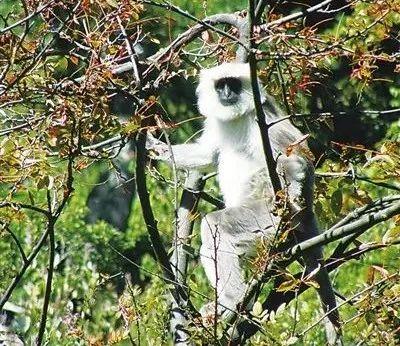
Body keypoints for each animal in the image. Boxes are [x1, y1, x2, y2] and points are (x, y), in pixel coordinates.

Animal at [147, 62, 340, 344]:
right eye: (221, 85)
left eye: (234, 84)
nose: (227, 93)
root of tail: (308, 215)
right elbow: (207, 154)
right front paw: (155, 148)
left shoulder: (266, 122)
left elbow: (295, 160)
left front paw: (290, 194)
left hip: (269, 223)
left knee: (216, 224)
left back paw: (231, 301)